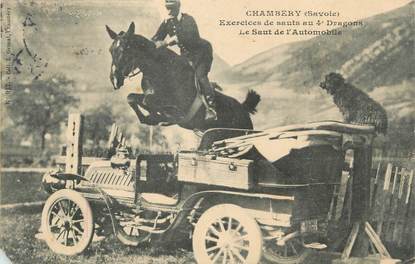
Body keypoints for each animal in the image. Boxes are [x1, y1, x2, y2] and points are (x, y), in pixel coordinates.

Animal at [106, 22, 260, 131]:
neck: (159, 71)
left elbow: (148, 101)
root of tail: (244, 108)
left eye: (125, 49)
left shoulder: (178, 104)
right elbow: (132, 98)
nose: (114, 80)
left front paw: (159, 116)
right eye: (110, 50)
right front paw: (150, 118)